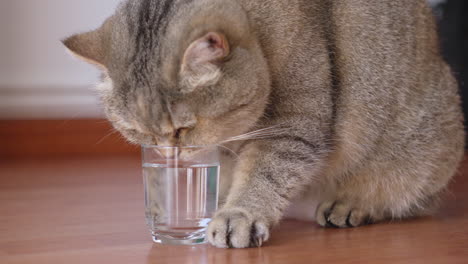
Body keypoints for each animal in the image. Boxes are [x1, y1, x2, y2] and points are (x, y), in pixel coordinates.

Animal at [63, 0, 464, 248]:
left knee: (410, 200)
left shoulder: (295, 122)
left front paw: (237, 214)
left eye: (182, 129)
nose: (170, 157)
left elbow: (265, 173)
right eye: (137, 132)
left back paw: (352, 205)